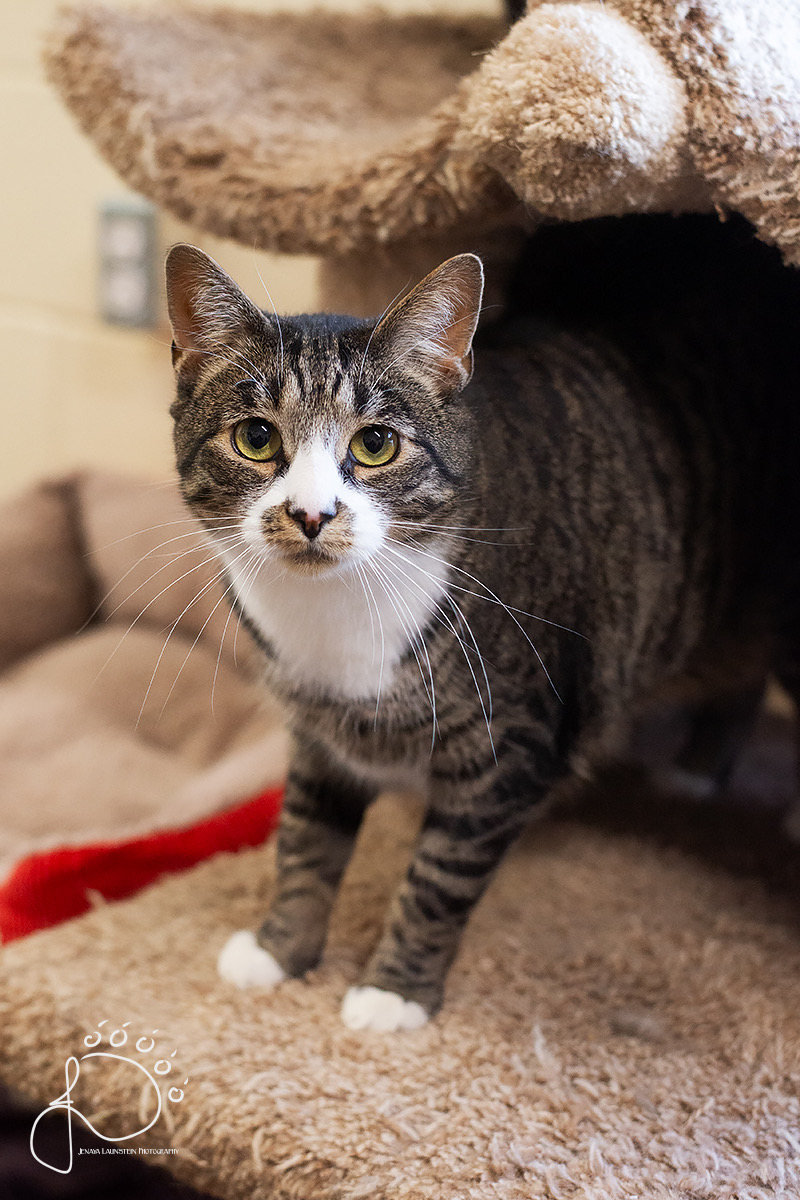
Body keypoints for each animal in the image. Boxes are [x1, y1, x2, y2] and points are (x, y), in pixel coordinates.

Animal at [165, 215, 800, 1032]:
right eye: (255, 438)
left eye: (375, 444)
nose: (310, 514)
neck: (338, 615)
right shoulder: (319, 732)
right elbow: (305, 841)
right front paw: (281, 951)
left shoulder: (511, 748)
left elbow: (438, 880)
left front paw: (394, 993)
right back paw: (696, 769)